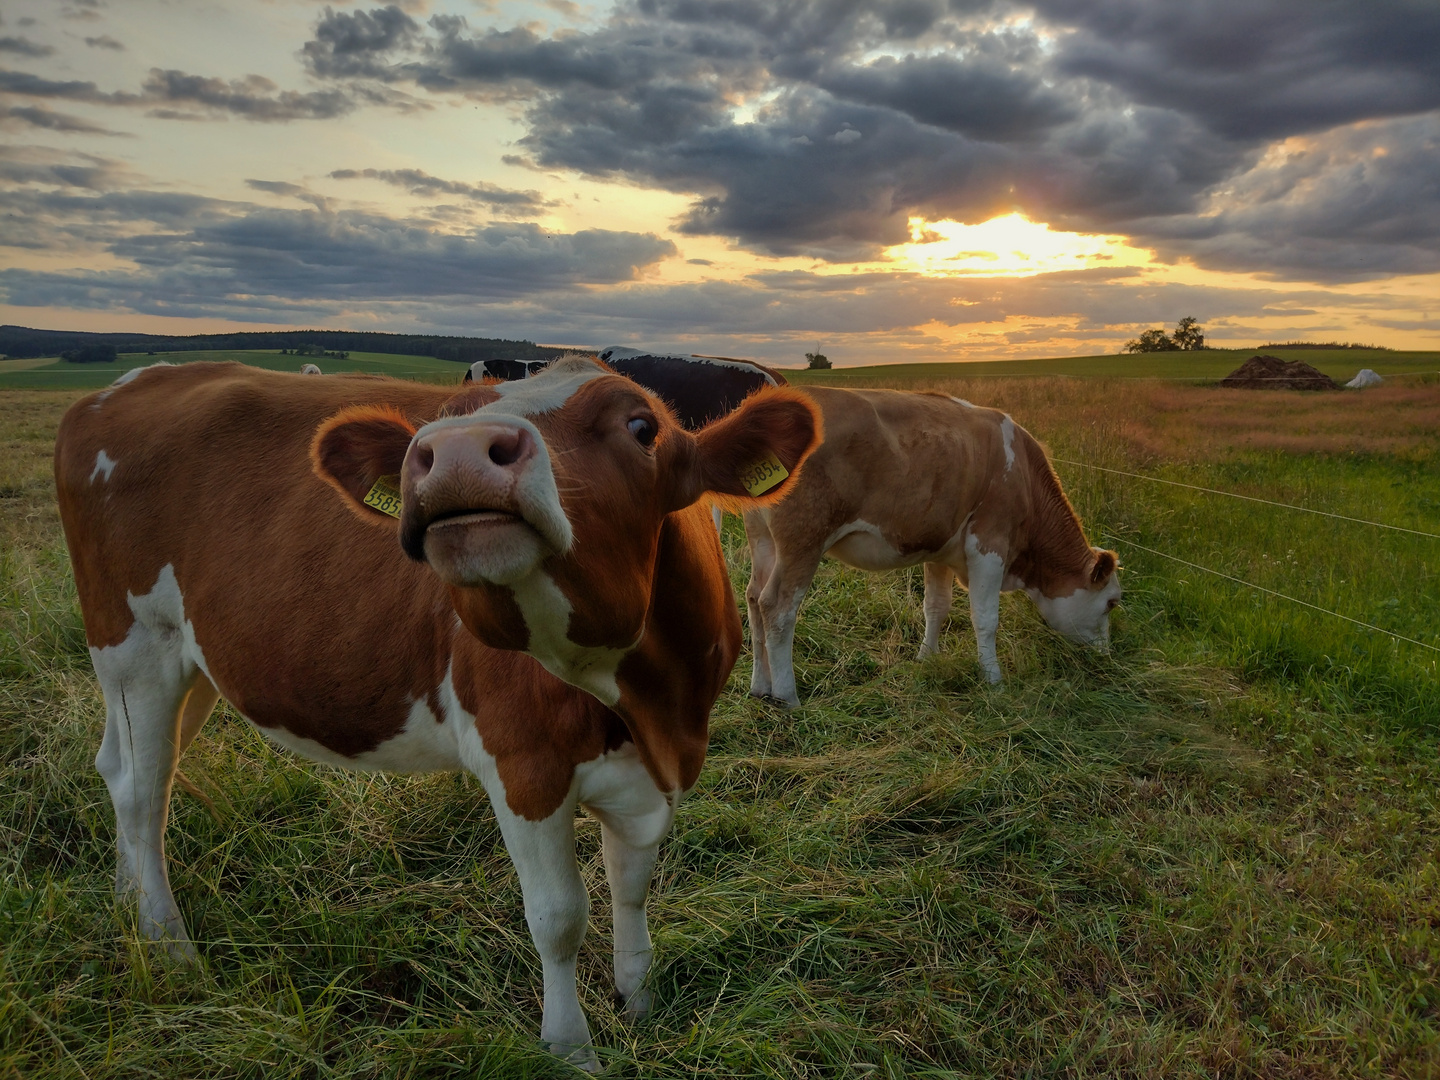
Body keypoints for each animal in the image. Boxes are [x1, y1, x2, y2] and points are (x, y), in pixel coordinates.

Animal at [53, 360, 823, 1071]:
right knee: (143, 791)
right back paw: (168, 943)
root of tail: (118, 388)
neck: (650, 705)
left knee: (124, 770)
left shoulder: (653, 771)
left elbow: (631, 882)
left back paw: (128, 905)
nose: (453, 450)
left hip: (194, 660)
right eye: (445, 417)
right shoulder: (523, 763)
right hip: (132, 646)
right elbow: (559, 916)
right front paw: (571, 1049)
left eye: (642, 426)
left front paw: (640, 998)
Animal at [748, 388, 1117, 711]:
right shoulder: (989, 544)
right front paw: (993, 680)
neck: (1023, 473)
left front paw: (926, 657)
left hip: (763, 539)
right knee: (777, 609)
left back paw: (760, 688)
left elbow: (936, 607)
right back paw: (787, 697)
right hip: (802, 540)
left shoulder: (940, 549)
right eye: (1112, 603)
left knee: (754, 599)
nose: (1108, 658)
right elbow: (986, 618)